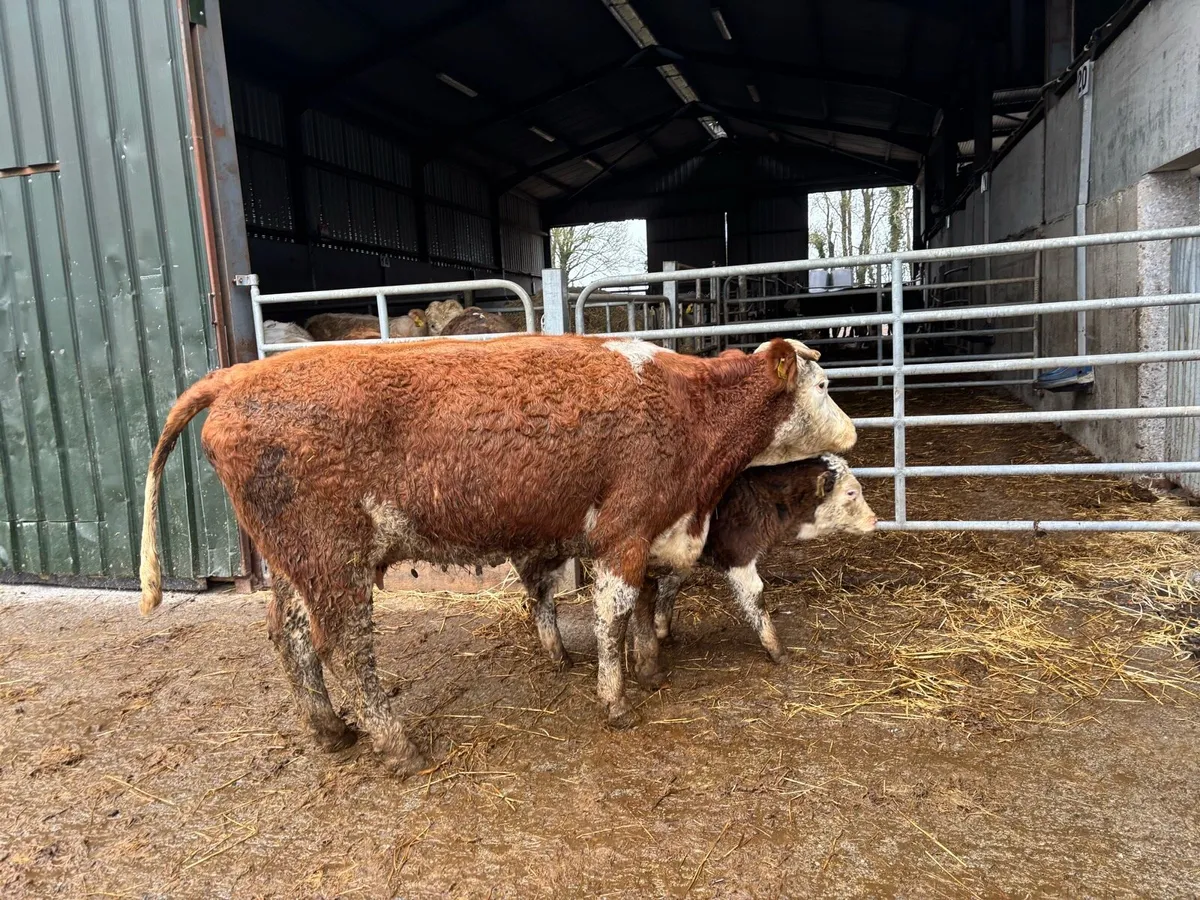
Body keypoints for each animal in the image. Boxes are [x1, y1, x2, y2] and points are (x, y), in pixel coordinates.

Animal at [139, 335, 856, 775]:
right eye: (824, 384)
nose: (852, 431)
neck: (689, 408)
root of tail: (237, 376)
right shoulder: (623, 529)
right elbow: (615, 614)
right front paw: (617, 701)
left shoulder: (655, 528)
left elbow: (647, 605)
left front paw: (650, 668)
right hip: (330, 557)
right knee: (343, 646)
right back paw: (397, 747)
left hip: (295, 561)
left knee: (288, 637)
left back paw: (331, 731)